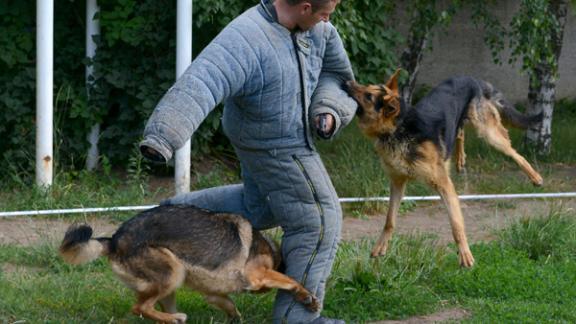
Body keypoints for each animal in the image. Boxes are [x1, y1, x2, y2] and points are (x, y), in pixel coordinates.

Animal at [59, 205, 320, 322]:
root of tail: (114, 240)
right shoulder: (257, 276)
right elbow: (290, 279)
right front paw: (307, 297)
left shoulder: (215, 294)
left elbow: (231, 306)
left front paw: (236, 319)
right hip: (173, 270)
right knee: (140, 308)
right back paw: (174, 318)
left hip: (173, 280)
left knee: (149, 306)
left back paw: (173, 318)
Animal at [344, 70, 544, 268]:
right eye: (367, 87)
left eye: (368, 96)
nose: (347, 82)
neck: (399, 129)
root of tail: (472, 78)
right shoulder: (397, 183)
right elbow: (389, 220)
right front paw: (381, 246)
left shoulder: (444, 185)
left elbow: (456, 224)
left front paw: (465, 254)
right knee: (460, 131)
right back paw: (460, 158)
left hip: (489, 133)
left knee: (514, 152)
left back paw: (535, 176)